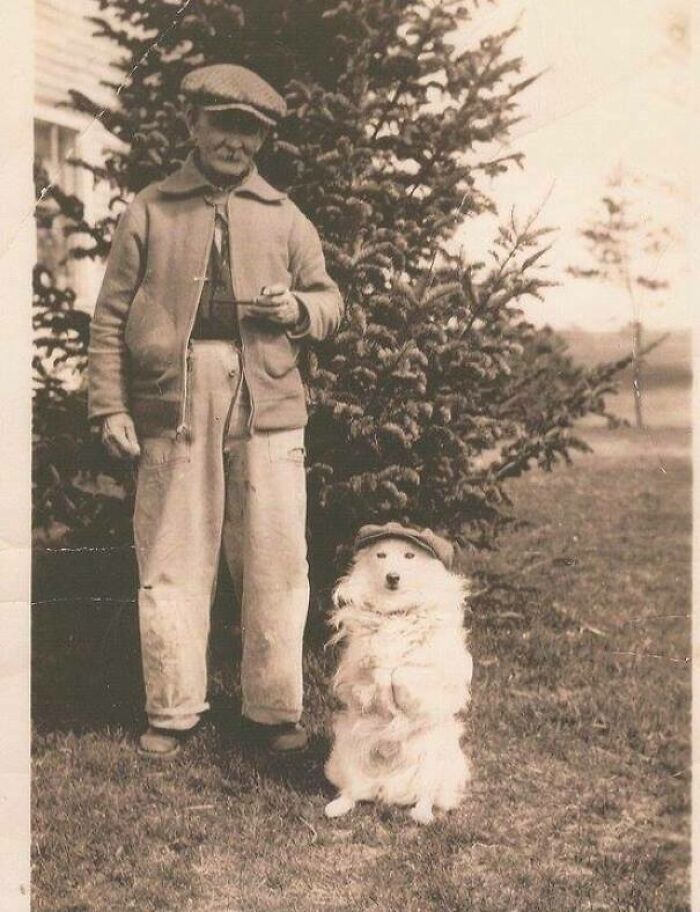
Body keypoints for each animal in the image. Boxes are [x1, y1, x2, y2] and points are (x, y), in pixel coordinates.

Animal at [326, 520, 474, 828]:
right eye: (381, 555)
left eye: (409, 556)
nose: (393, 577)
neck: (396, 612)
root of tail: (388, 790)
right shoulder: (357, 668)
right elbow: (379, 671)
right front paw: (384, 695)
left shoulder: (435, 673)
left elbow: (403, 673)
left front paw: (396, 698)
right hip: (347, 747)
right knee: (352, 790)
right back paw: (337, 806)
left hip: (436, 758)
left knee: (427, 793)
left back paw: (422, 814)